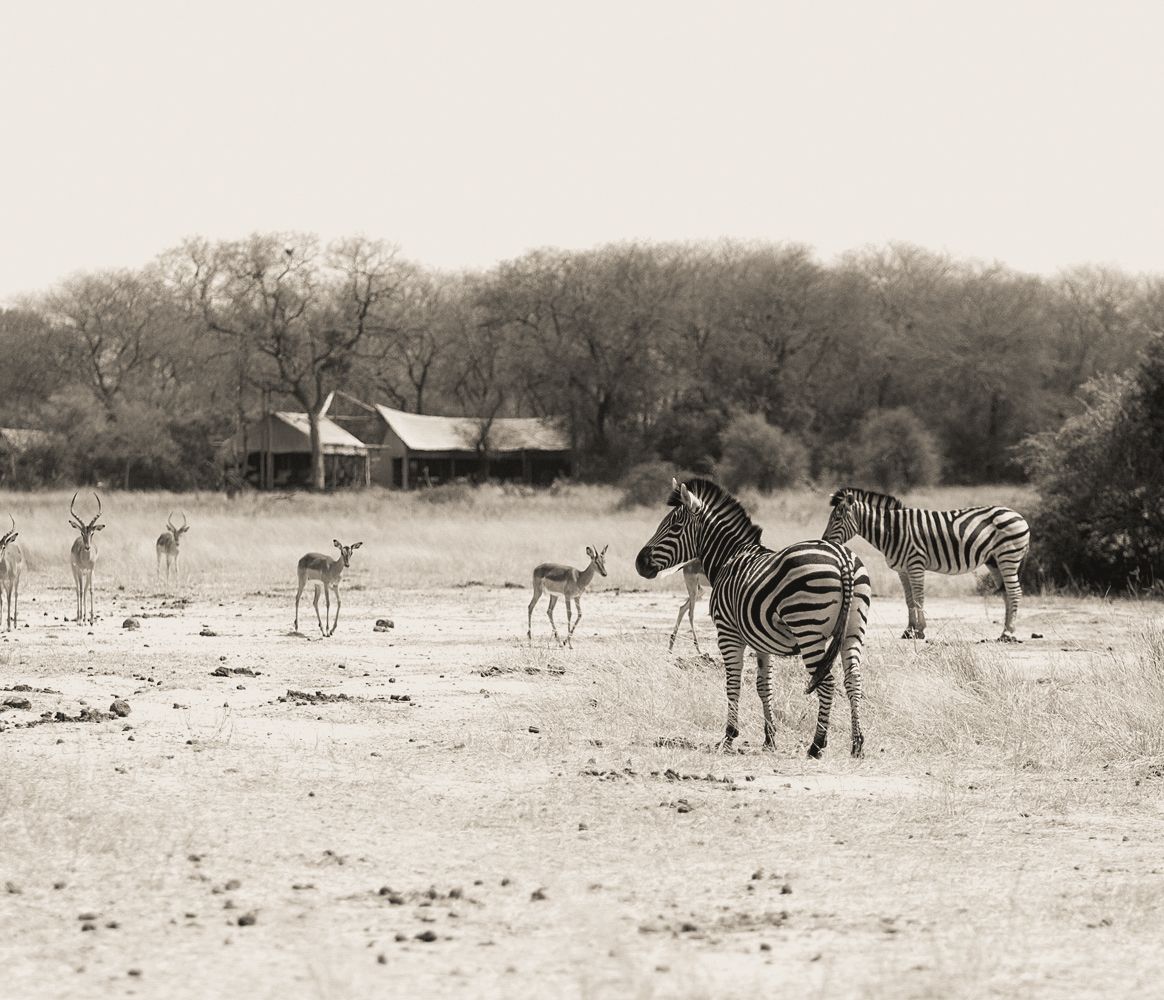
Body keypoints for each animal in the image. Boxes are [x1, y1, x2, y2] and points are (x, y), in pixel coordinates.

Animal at [636, 478, 871, 757]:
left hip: (808, 629)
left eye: (674, 526)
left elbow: (733, 683)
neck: (729, 557)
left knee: (826, 683)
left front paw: (729, 736)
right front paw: (769, 739)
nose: (640, 563)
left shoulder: (727, 633)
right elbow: (763, 686)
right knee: (853, 681)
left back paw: (816, 745)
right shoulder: (762, 641)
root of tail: (843, 558)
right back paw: (857, 744)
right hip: (853, 630)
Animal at [823, 487, 1031, 642]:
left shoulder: (916, 564)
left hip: (1008, 556)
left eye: (837, 518)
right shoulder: (902, 570)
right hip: (994, 560)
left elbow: (919, 598)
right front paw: (909, 630)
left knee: (1015, 592)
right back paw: (1005, 631)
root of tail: (1019, 515)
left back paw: (1008, 633)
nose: (824, 540)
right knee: (1006, 593)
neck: (893, 530)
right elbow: (909, 600)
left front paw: (920, 630)